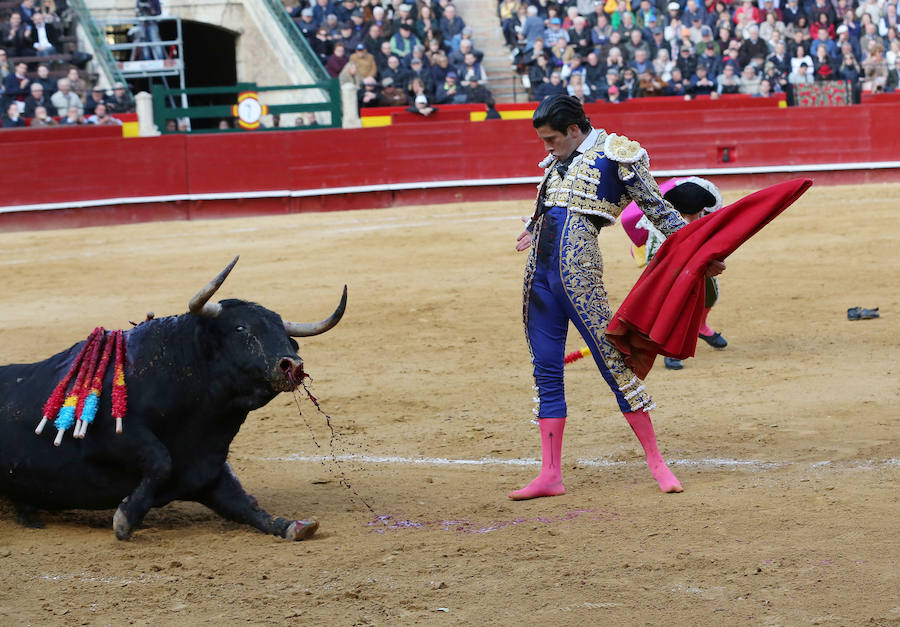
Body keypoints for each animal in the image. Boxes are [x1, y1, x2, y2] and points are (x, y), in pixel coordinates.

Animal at [0, 258, 344, 544]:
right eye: (240, 328)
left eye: (291, 340)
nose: (292, 365)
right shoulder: (110, 432)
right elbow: (160, 460)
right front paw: (125, 519)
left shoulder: (206, 471)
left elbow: (246, 505)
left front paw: (293, 525)